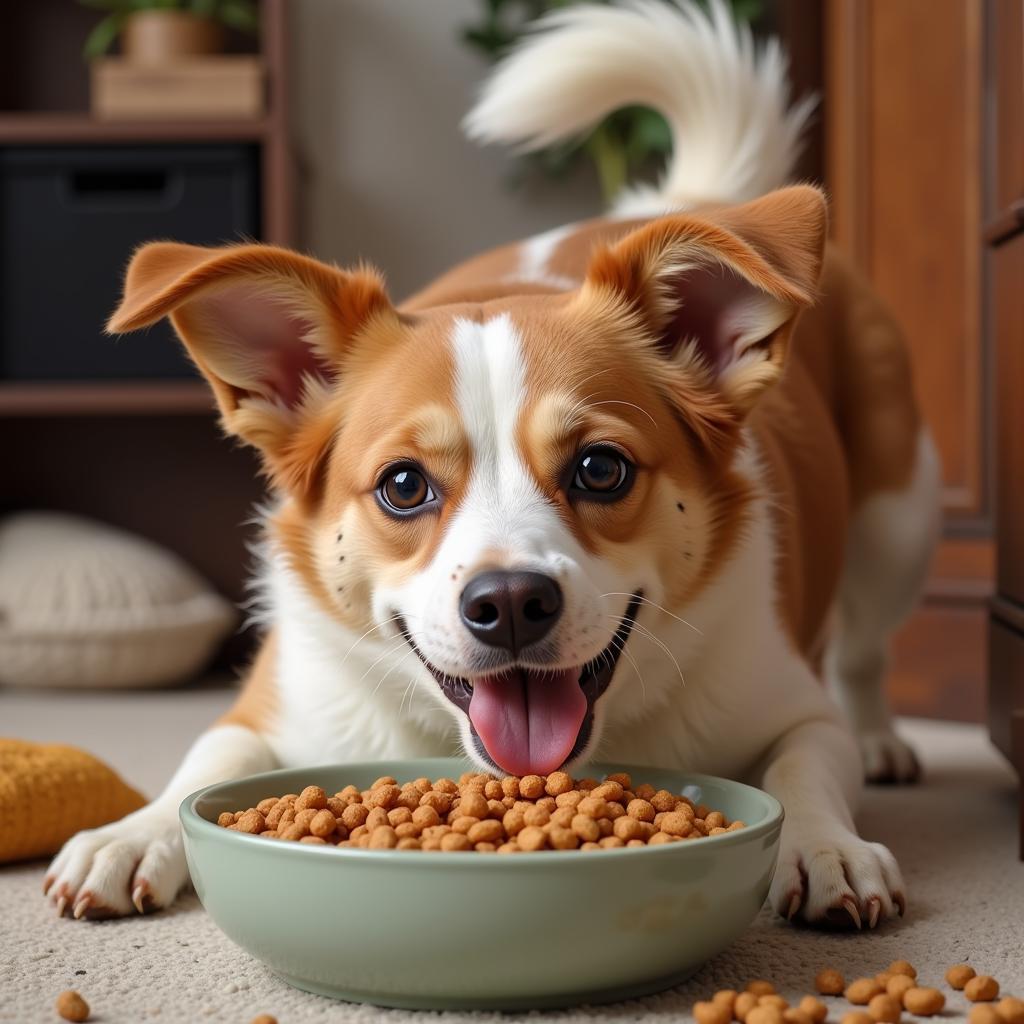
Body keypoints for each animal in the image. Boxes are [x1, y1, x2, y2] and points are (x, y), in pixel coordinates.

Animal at [44, 0, 937, 929]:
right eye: (403, 485)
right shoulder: (272, 703)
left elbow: (806, 764)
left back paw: (883, 737)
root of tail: (691, 199)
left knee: (866, 652)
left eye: (601, 469)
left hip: (899, 521)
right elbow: (206, 756)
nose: (509, 604)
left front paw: (827, 846)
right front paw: (133, 832)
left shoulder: (794, 706)